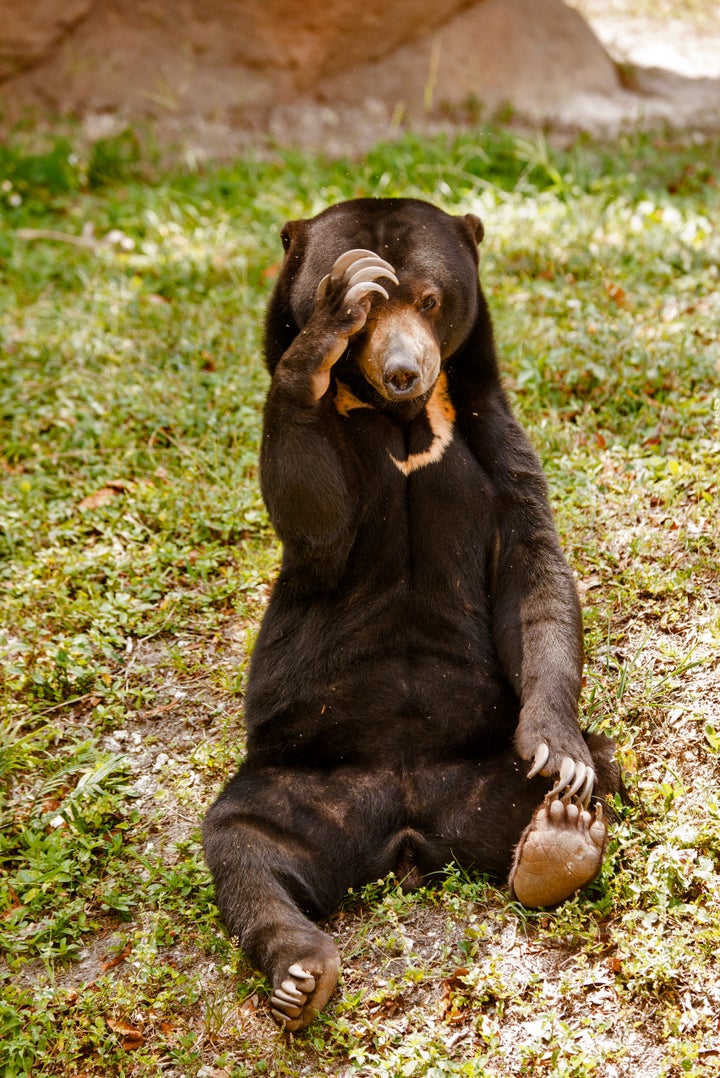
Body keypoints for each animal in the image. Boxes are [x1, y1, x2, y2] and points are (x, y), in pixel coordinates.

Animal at [202, 198, 620, 1030]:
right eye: (366, 316)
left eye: (429, 300)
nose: (405, 370)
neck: (402, 421)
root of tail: (406, 836)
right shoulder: (331, 459)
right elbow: (313, 513)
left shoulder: (491, 436)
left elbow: (534, 569)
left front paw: (557, 750)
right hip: (298, 780)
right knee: (245, 845)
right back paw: (301, 972)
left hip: (483, 768)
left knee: (592, 782)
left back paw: (559, 839)